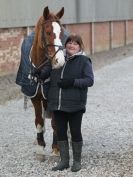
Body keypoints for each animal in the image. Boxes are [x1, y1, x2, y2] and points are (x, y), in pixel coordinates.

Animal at [16, 6, 66, 160]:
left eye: (62, 33)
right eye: (48, 32)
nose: (60, 61)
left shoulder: (51, 97)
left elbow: (55, 123)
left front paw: (56, 148)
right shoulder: (35, 97)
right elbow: (39, 121)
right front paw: (40, 147)